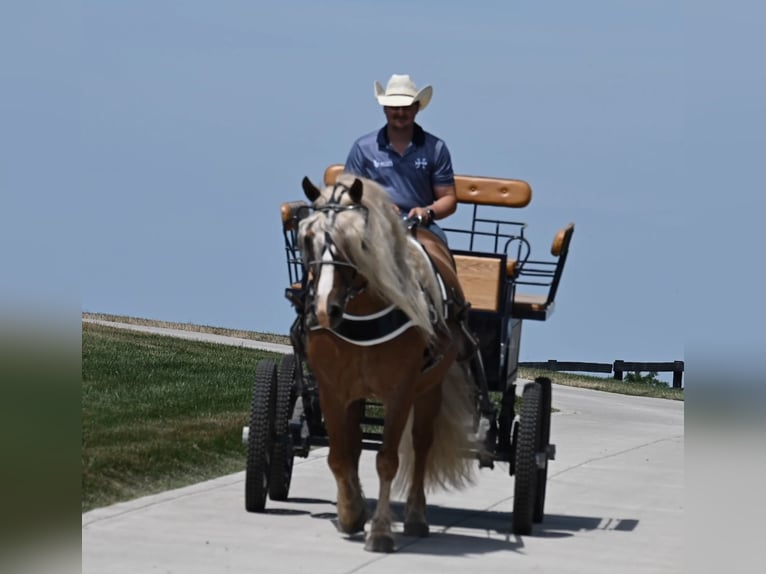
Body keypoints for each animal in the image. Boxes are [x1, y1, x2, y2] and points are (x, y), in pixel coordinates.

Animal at [296, 174, 480, 552]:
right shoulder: (332, 389)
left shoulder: (400, 391)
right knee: (353, 444)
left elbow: (387, 460)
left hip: (429, 388)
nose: (323, 310)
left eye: (358, 243)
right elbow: (340, 454)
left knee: (422, 445)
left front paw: (380, 530)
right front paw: (350, 512)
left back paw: (416, 517)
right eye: (307, 239)